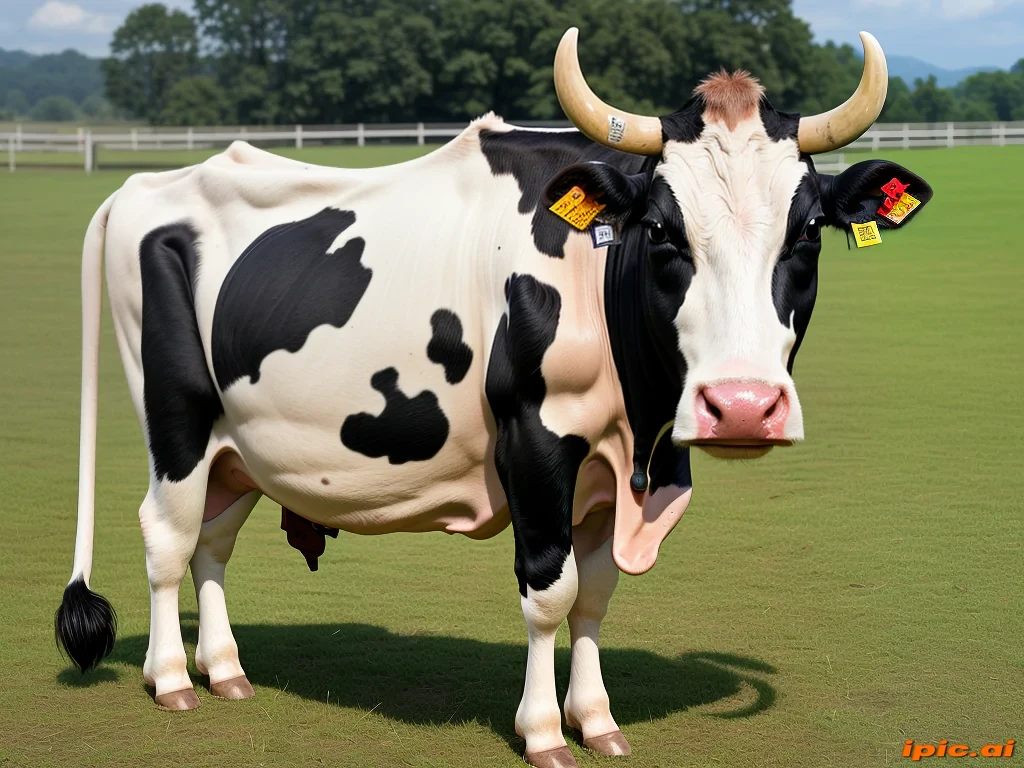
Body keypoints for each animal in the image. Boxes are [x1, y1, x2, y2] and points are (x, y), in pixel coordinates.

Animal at [56, 28, 931, 768]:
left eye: (808, 232)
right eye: (661, 231)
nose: (742, 406)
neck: (641, 430)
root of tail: (152, 182)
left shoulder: (613, 474)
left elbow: (595, 596)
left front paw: (598, 720)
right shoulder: (536, 444)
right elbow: (551, 592)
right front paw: (544, 732)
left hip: (239, 445)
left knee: (212, 539)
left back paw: (225, 668)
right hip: (177, 420)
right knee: (166, 536)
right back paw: (172, 678)